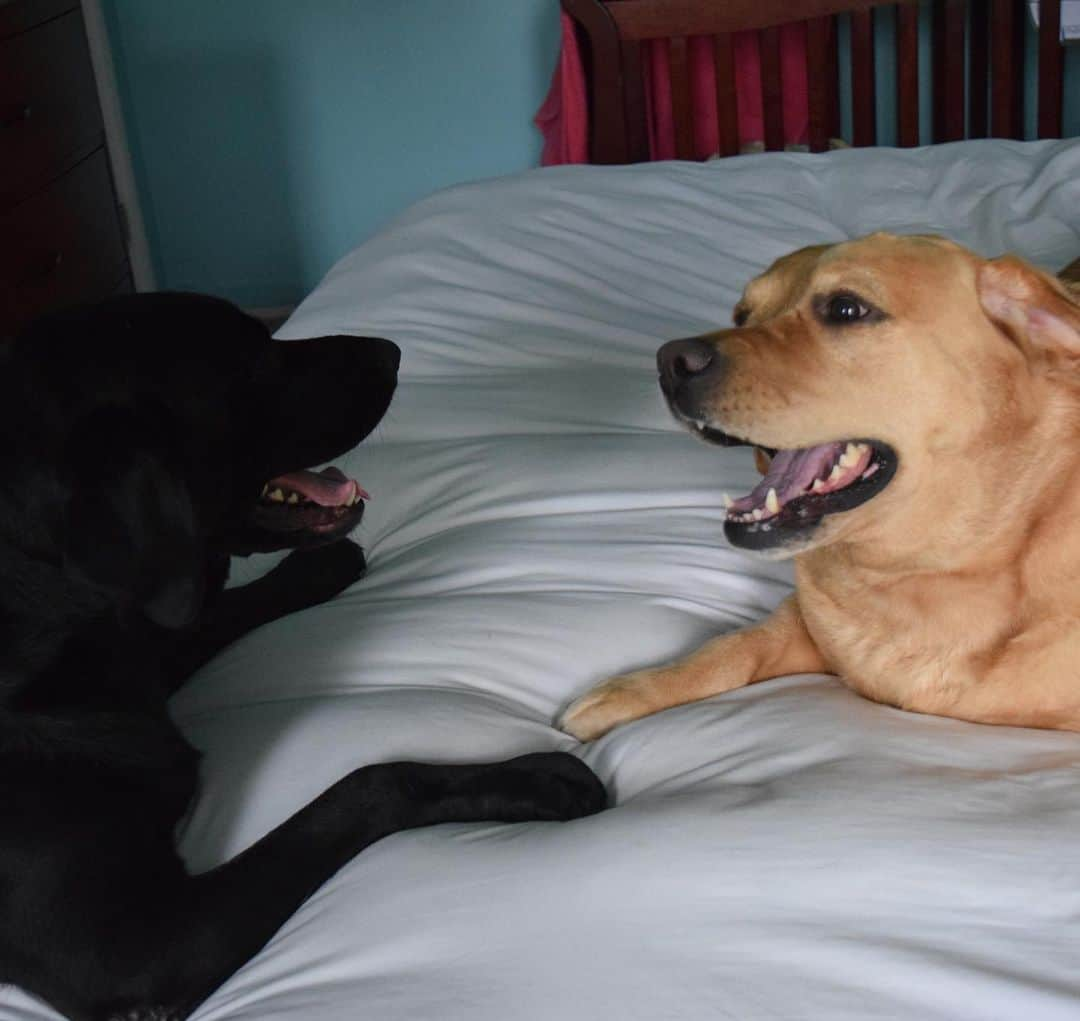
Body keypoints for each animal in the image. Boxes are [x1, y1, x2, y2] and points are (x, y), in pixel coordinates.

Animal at [0, 293, 609, 1019]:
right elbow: (374, 781)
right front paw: (533, 780)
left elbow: (213, 614)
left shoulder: (148, 637)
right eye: (249, 359)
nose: (392, 351)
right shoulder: (131, 954)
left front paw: (314, 570)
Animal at [561, 234, 1080, 739]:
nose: (671, 361)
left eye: (846, 309)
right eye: (741, 315)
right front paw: (638, 687)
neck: (922, 573)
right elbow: (735, 645)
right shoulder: (804, 623)